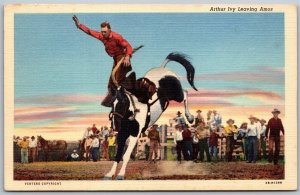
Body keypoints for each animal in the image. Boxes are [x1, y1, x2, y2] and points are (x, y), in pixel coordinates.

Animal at [104, 52, 198, 180]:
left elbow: (126, 154)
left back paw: (190, 117)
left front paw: (121, 174)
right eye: (111, 103)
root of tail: (163, 68)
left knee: (185, 93)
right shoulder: (122, 134)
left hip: (177, 94)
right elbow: (118, 155)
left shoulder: (135, 134)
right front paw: (109, 174)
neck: (133, 111)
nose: (115, 126)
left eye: (123, 102)